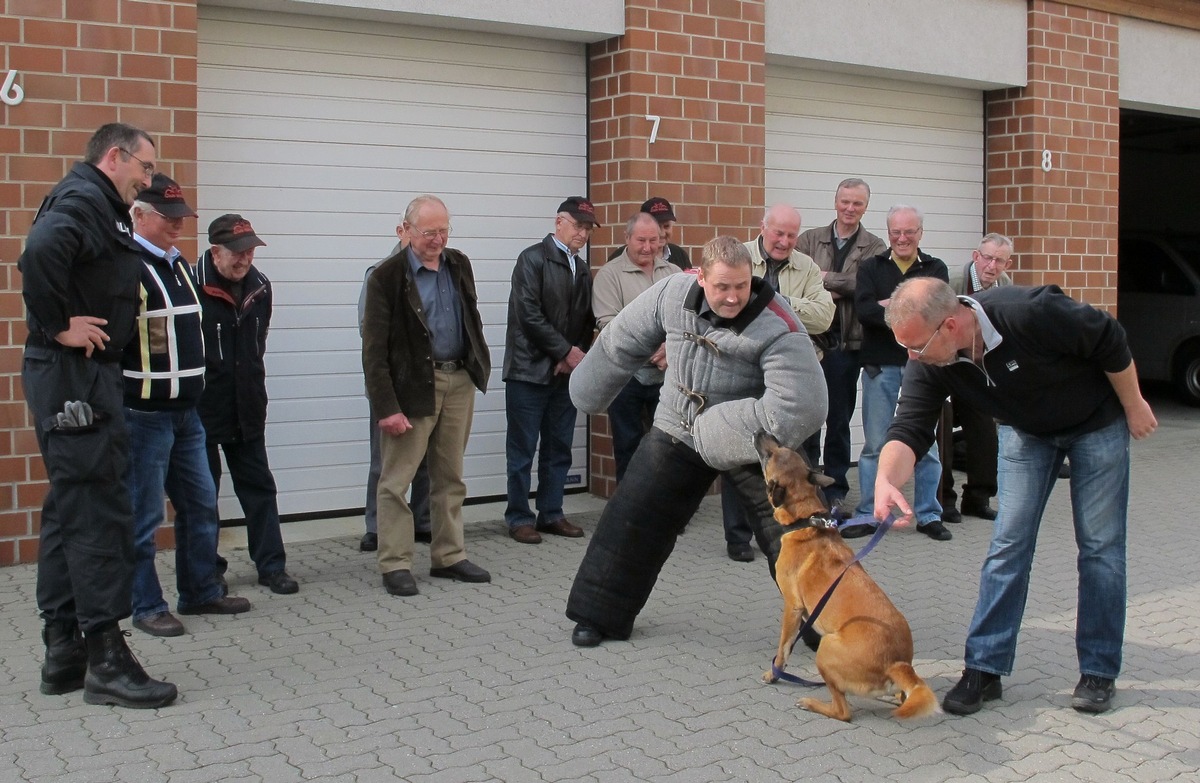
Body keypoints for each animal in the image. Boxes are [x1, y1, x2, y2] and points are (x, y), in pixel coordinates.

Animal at [753, 432, 940, 720]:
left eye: (771, 454)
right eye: (778, 446)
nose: (763, 431)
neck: (806, 519)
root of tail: (897, 663)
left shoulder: (792, 607)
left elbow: (783, 648)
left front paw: (774, 673)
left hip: (826, 649)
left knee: (843, 712)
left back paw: (812, 703)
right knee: (899, 697)